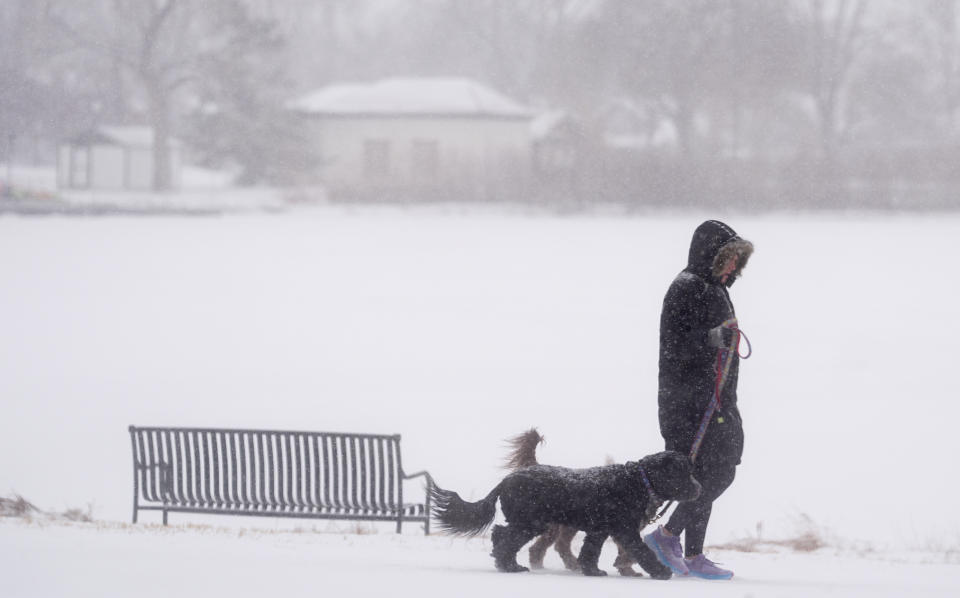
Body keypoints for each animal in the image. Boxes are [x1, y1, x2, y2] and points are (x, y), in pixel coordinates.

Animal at [432, 452, 700, 580]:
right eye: (683, 473)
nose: (699, 488)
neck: (638, 481)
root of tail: (506, 481)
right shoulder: (625, 530)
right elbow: (643, 552)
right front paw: (661, 572)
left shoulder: (599, 531)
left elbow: (590, 553)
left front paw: (592, 571)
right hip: (530, 522)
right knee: (505, 539)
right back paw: (510, 567)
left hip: (529, 523)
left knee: (500, 535)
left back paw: (507, 564)